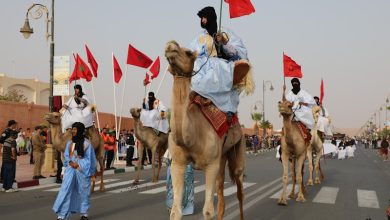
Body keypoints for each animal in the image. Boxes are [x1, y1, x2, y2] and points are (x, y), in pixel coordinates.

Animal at [165, 40, 247, 220]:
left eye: (188, 53)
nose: (170, 45)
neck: (192, 136)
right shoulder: (178, 163)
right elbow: (175, 211)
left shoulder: (210, 165)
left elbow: (208, 210)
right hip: (222, 156)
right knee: (221, 194)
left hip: (238, 148)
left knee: (239, 190)